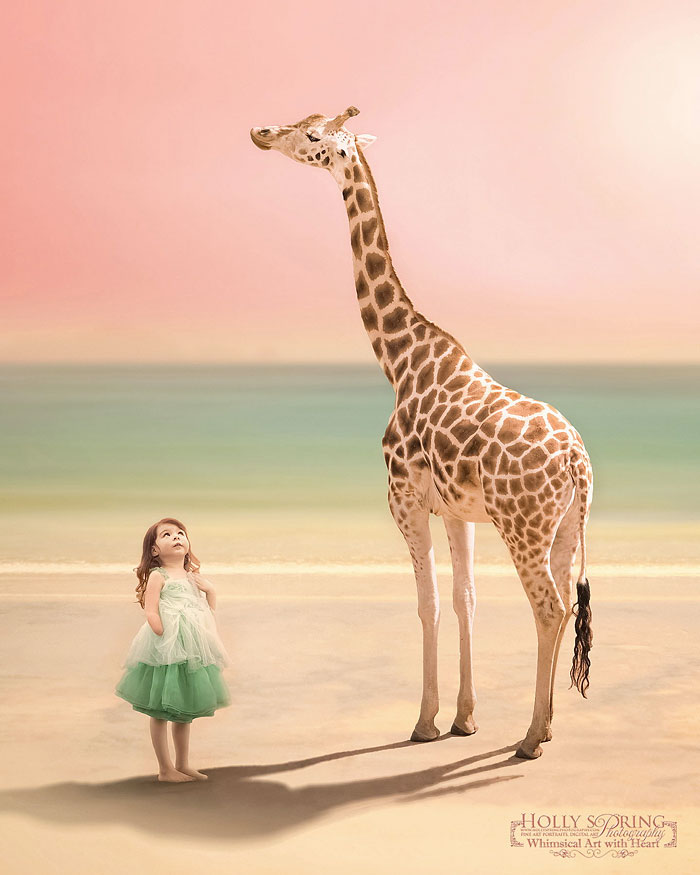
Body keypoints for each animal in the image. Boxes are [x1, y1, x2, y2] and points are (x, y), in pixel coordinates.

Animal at [250, 107, 593, 759]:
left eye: (312, 135)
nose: (260, 133)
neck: (399, 360)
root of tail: (577, 464)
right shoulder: (456, 510)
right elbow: (464, 599)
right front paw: (465, 718)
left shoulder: (402, 497)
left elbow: (427, 602)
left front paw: (425, 721)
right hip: (564, 527)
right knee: (563, 604)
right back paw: (550, 725)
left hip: (523, 526)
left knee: (548, 607)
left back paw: (531, 738)